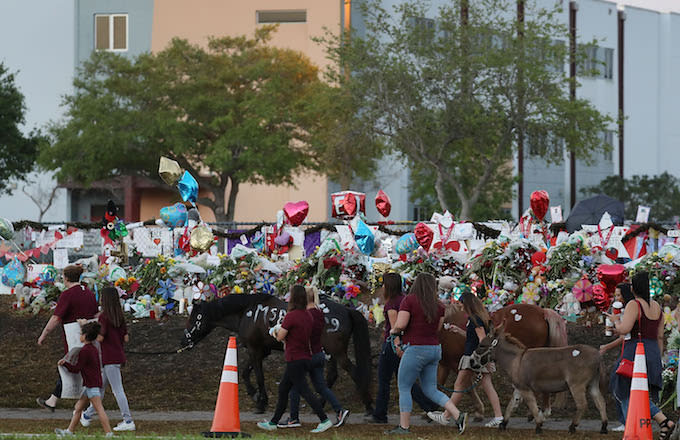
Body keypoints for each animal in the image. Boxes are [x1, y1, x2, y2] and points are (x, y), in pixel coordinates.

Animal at [181, 294, 372, 414]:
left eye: (194, 318)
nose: (183, 342)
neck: (247, 312)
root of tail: (347, 310)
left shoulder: (255, 349)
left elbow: (259, 377)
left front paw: (261, 402)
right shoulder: (261, 350)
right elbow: (245, 373)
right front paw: (254, 394)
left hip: (338, 353)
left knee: (355, 373)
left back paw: (369, 407)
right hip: (329, 353)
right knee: (332, 376)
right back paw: (320, 403)